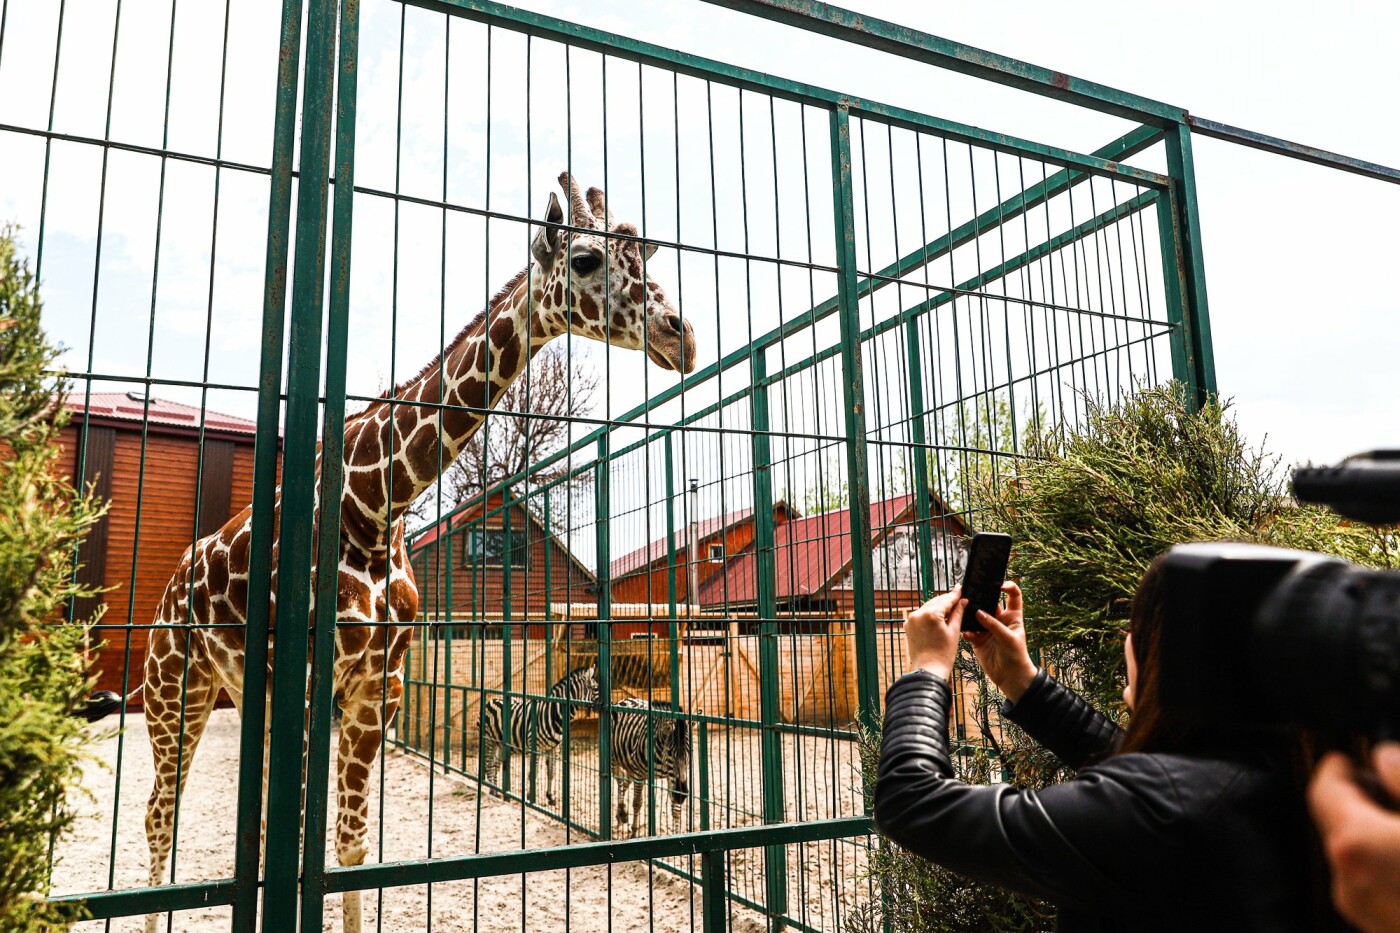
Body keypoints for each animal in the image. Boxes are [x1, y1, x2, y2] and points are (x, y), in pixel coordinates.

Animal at [481, 661, 596, 806]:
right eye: (596, 688)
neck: (553, 714)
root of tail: (493, 699)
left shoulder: (554, 748)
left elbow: (551, 771)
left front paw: (551, 797)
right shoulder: (534, 747)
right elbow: (533, 772)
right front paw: (530, 796)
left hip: (501, 743)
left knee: (495, 764)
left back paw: (496, 791)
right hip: (488, 740)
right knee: (489, 764)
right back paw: (493, 791)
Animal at [610, 697, 691, 834]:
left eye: (690, 753)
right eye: (670, 753)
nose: (681, 795)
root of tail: (625, 699)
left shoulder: (671, 777)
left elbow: (676, 810)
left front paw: (677, 833)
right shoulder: (639, 774)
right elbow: (637, 802)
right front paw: (634, 832)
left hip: (631, 765)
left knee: (625, 781)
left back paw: (621, 815)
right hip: (614, 759)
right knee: (619, 779)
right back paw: (622, 811)